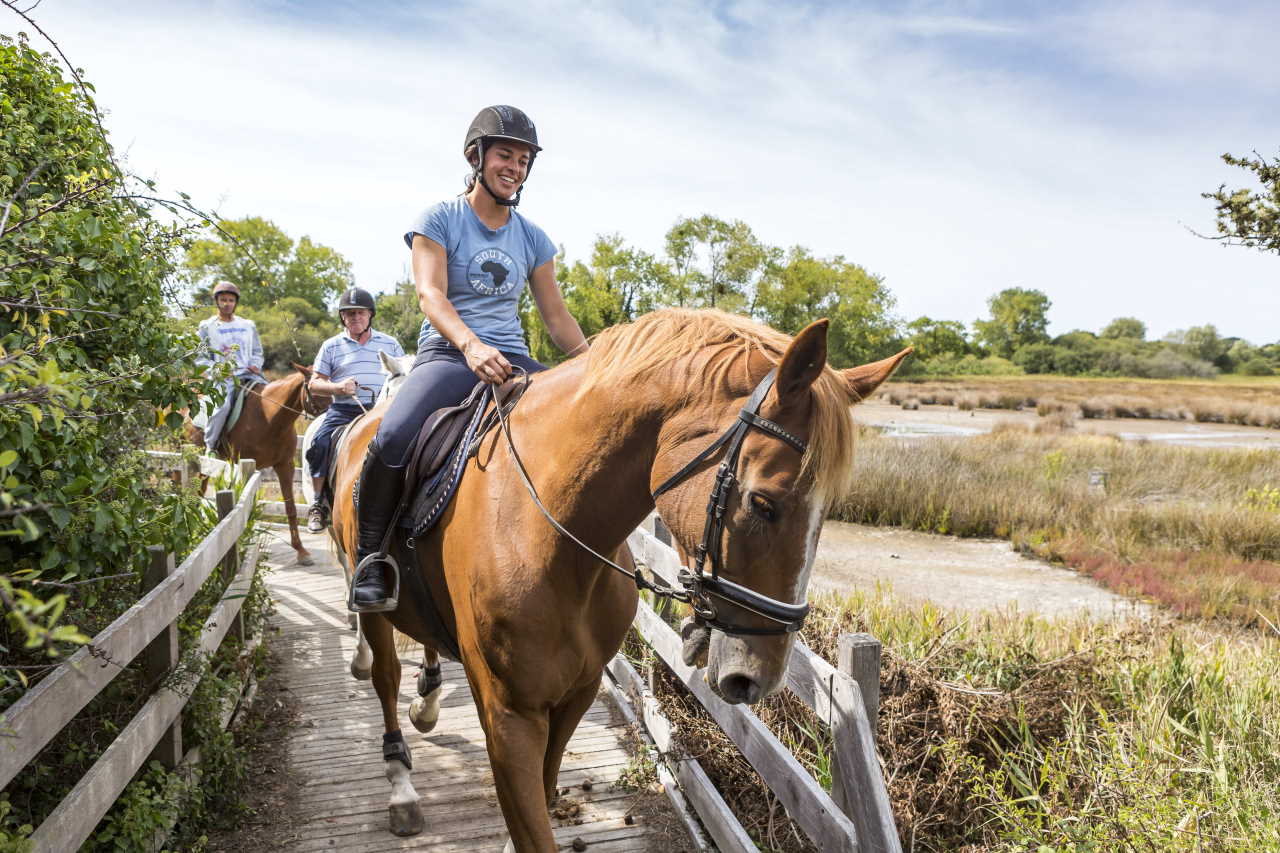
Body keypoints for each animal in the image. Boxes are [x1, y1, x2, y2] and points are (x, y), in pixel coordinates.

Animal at [188, 361, 332, 560]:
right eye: (317, 390)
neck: (270, 417)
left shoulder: (284, 465)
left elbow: (291, 508)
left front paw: (300, 550)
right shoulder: (240, 466)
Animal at [330, 308, 911, 845]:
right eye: (763, 503)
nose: (759, 678)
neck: (551, 541)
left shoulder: (578, 694)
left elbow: (543, 795)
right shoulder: (508, 715)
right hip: (370, 597)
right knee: (385, 675)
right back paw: (401, 784)